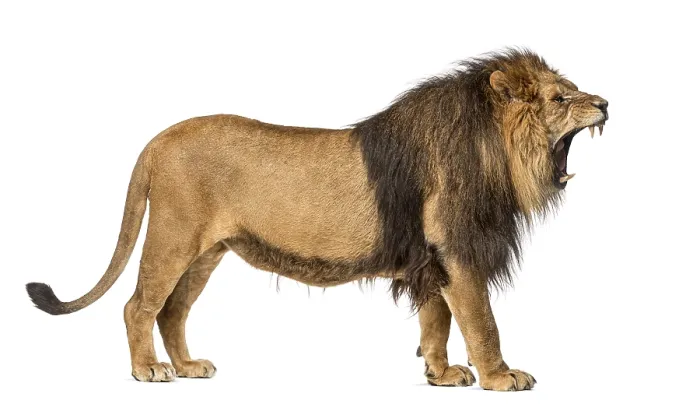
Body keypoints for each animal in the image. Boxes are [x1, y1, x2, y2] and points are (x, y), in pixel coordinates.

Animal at [26, 49, 608, 390]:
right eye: (561, 98)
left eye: (573, 89)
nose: (604, 102)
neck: (495, 153)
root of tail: (157, 140)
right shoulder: (457, 253)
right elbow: (481, 322)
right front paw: (500, 376)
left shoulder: (431, 260)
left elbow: (436, 322)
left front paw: (440, 374)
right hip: (173, 236)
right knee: (138, 305)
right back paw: (148, 370)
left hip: (207, 252)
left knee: (172, 312)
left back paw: (190, 367)